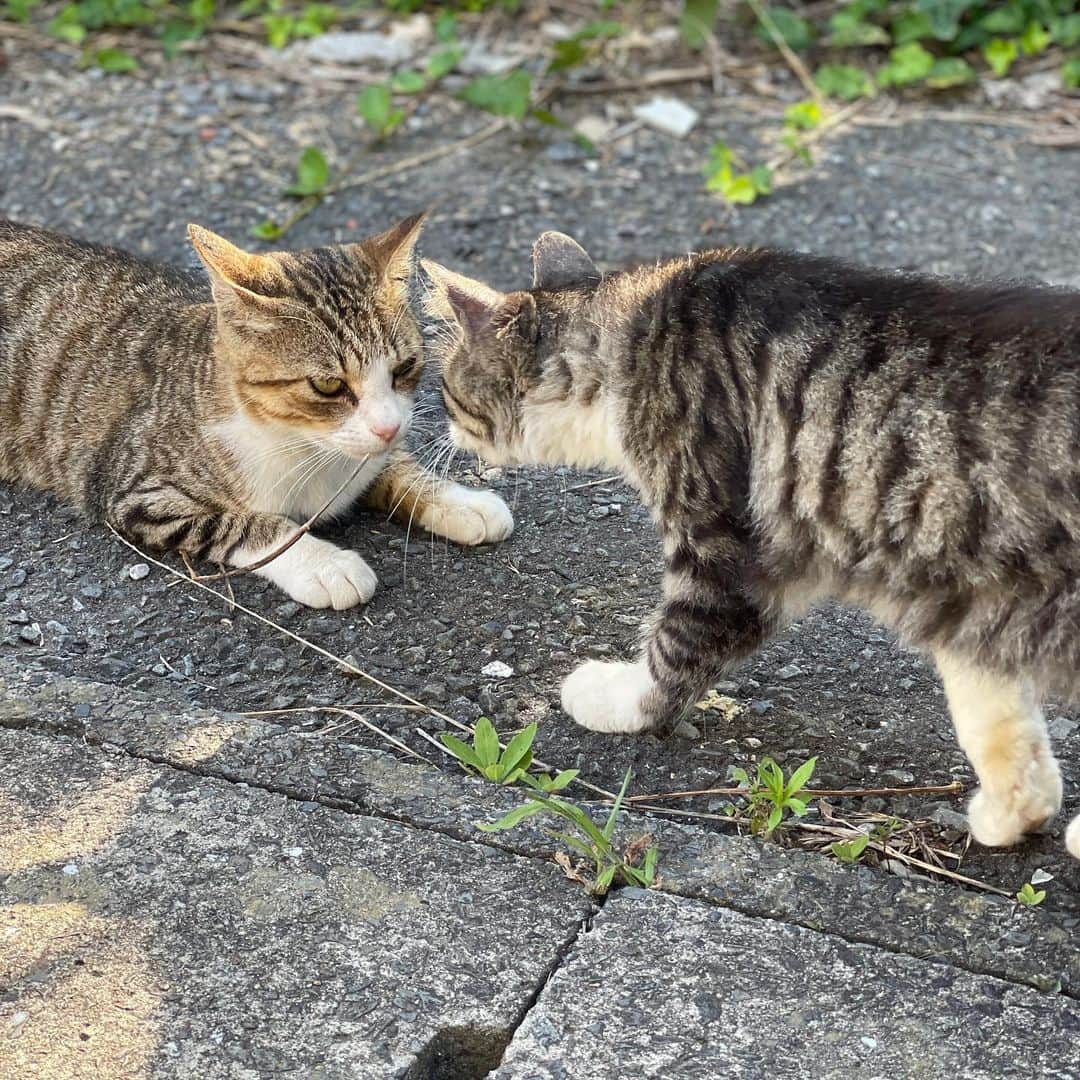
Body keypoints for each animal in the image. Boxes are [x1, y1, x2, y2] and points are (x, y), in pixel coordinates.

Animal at [0, 218, 514, 609]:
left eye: (405, 367)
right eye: (328, 385)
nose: (389, 427)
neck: (302, 445)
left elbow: (390, 467)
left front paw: (455, 500)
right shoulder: (136, 491)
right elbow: (250, 525)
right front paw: (324, 563)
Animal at [421, 234, 1080, 859]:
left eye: (448, 390)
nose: (440, 428)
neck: (628, 347)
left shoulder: (726, 556)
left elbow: (674, 652)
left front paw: (612, 699)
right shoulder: (963, 594)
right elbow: (991, 716)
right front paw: (1016, 811)